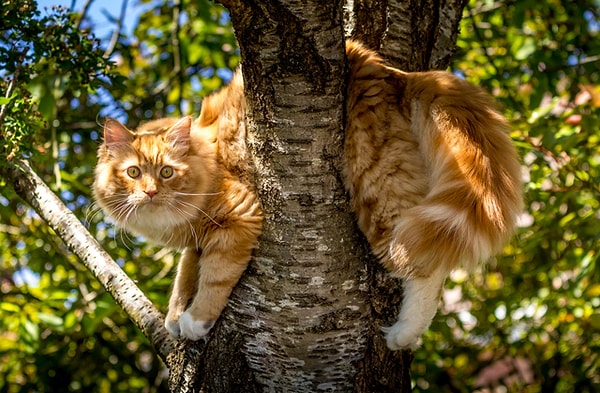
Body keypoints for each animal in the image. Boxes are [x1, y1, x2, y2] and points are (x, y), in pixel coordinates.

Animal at [92, 39, 520, 346]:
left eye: (166, 172)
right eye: (133, 173)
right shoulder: (195, 239)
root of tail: (391, 71)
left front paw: (196, 321)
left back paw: (403, 335)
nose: (150, 192)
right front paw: (175, 317)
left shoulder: (239, 216)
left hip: (378, 195)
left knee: (427, 268)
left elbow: (213, 277)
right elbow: (184, 277)